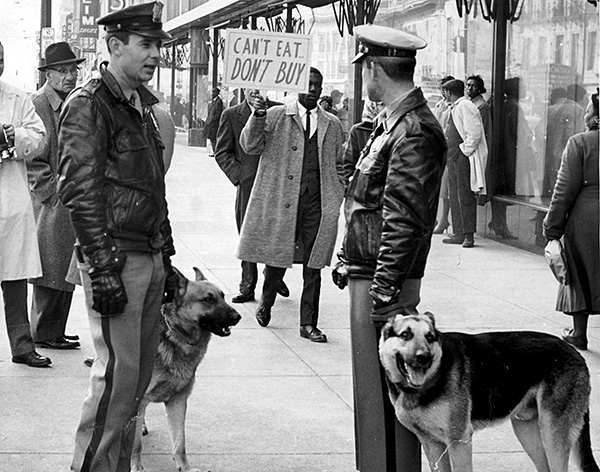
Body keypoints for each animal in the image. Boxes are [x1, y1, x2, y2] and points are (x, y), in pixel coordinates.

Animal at [131, 270, 241, 472]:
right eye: (208, 299)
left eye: (222, 296)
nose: (237, 317)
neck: (177, 336)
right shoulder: (141, 398)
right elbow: (135, 445)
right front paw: (135, 466)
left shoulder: (178, 400)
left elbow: (179, 442)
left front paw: (185, 467)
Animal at [380, 312, 600, 470]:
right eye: (405, 335)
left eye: (430, 337)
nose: (424, 357)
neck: (435, 375)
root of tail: (576, 354)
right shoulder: (432, 445)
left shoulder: (459, 442)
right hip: (528, 432)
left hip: (553, 435)